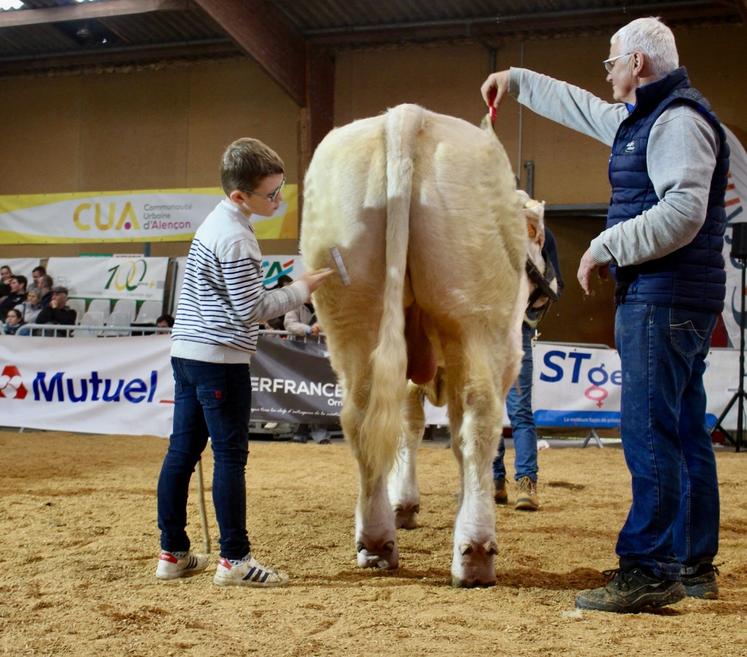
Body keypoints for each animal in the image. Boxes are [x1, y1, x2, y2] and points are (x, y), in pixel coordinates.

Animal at [302, 105, 524, 588]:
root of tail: (407, 115)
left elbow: (407, 426)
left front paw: (404, 504)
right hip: (477, 317)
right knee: (479, 418)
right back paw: (475, 552)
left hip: (353, 315)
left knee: (360, 416)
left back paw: (375, 540)